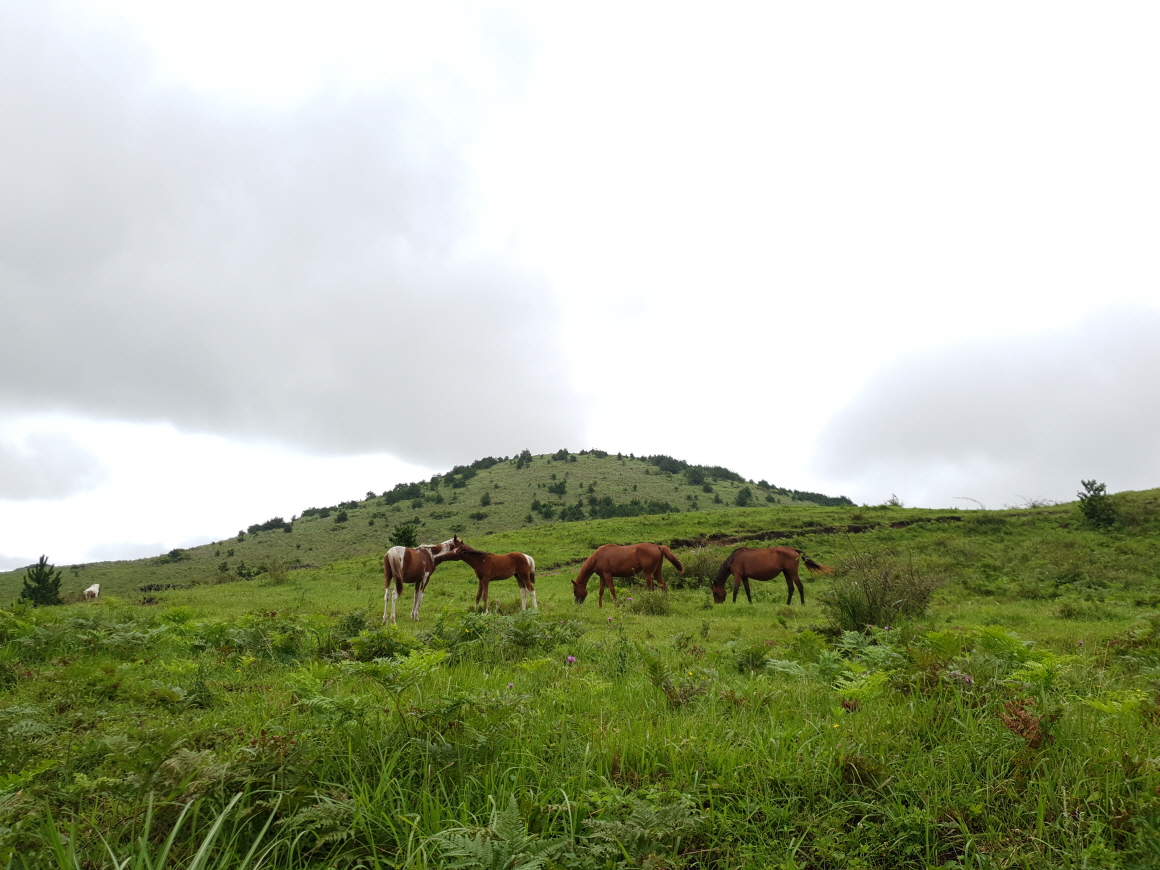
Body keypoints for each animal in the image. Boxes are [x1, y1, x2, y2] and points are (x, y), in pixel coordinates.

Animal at [705, 545, 835, 607]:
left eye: (715, 592)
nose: (717, 603)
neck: (733, 558)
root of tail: (794, 550)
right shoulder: (744, 577)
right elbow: (747, 591)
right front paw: (750, 603)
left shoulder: (738, 575)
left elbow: (735, 591)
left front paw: (734, 603)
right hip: (786, 573)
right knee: (791, 588)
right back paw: (787, 604)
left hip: (792, 572)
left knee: (800, 587)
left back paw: (803, 604)